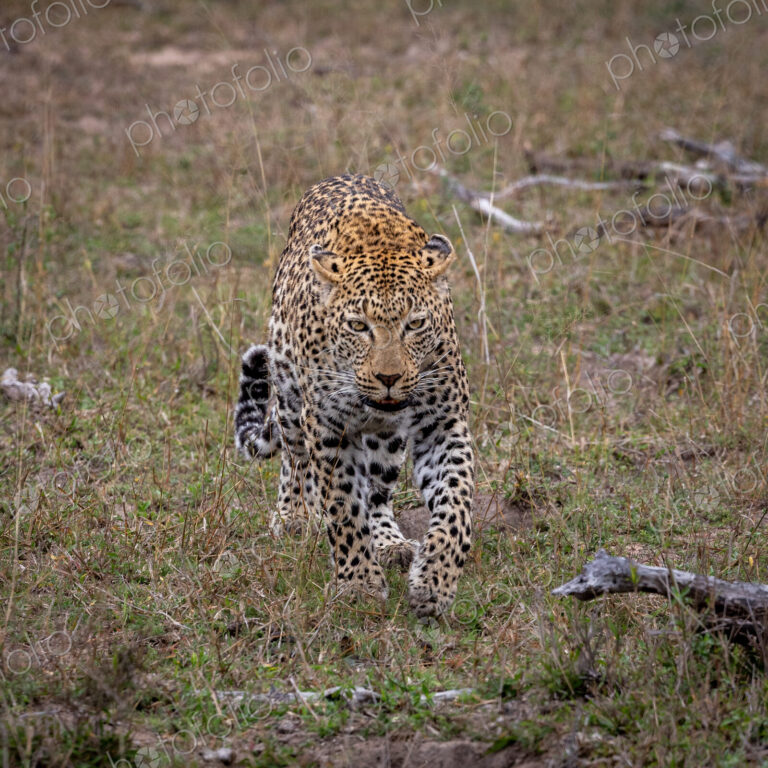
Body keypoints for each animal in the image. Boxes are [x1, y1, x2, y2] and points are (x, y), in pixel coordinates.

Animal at [234, 173, 474, 618]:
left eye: (416, 324)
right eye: (358, 326)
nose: (388, 377)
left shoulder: (443, 425)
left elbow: (456, 503)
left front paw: (434, 580)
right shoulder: (330, 429)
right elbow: (343, 507)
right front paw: (359, 584)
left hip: (388, 438)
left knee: (377, 489)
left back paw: (390, 542)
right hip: (289, 396)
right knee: (295, 458)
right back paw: (293, 515)